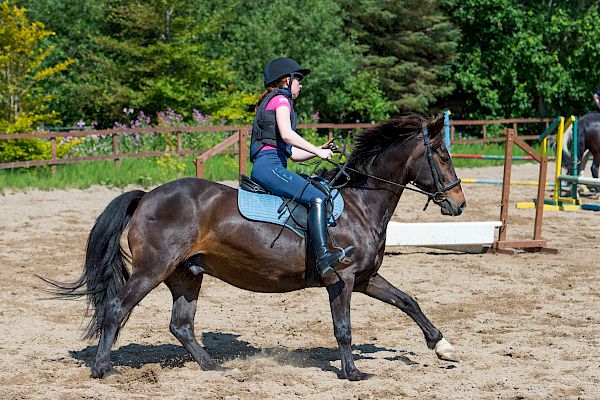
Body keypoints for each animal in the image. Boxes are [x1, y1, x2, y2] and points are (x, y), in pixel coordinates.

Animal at [49, 113, 466, 382]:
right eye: (443, 156)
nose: (459, 204)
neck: (360, 204)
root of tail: (147, 196)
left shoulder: (365, 278)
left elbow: (408, 301)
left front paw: (443, 346)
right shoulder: (343, 279)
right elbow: (343, 327)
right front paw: (352, 372)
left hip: (186, 274)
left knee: (181, 324)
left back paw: (213, 367)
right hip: (153, 269)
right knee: (118, 308)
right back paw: (103, 369)